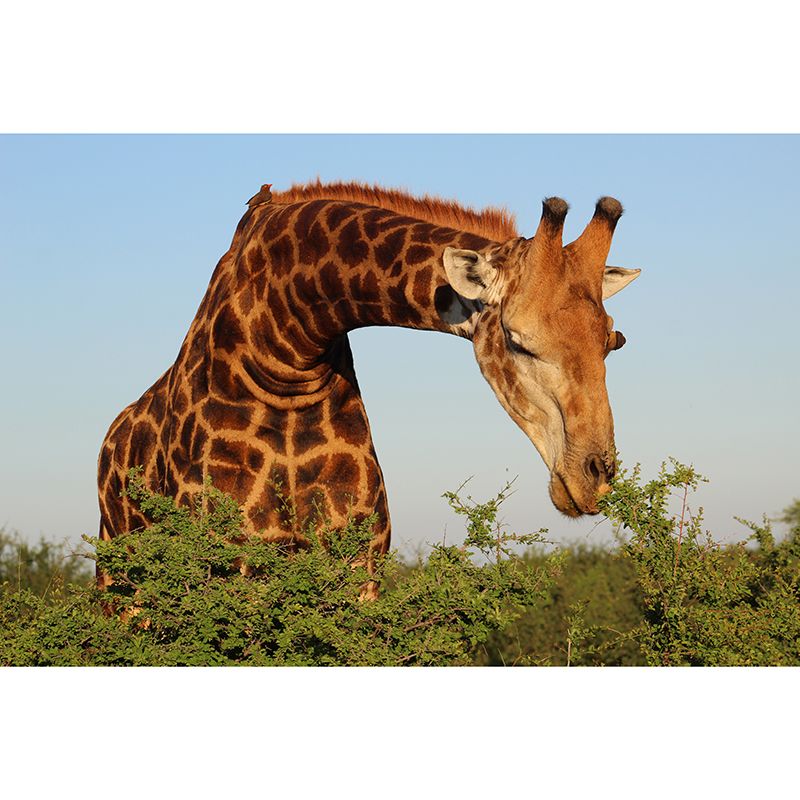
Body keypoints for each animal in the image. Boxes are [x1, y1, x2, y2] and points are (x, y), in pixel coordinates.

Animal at [97, 180, 640, 581]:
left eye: (613, 342)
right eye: (517, 339)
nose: (594, 479)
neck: (283, 353)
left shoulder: (359, 565)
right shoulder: (231, 564)